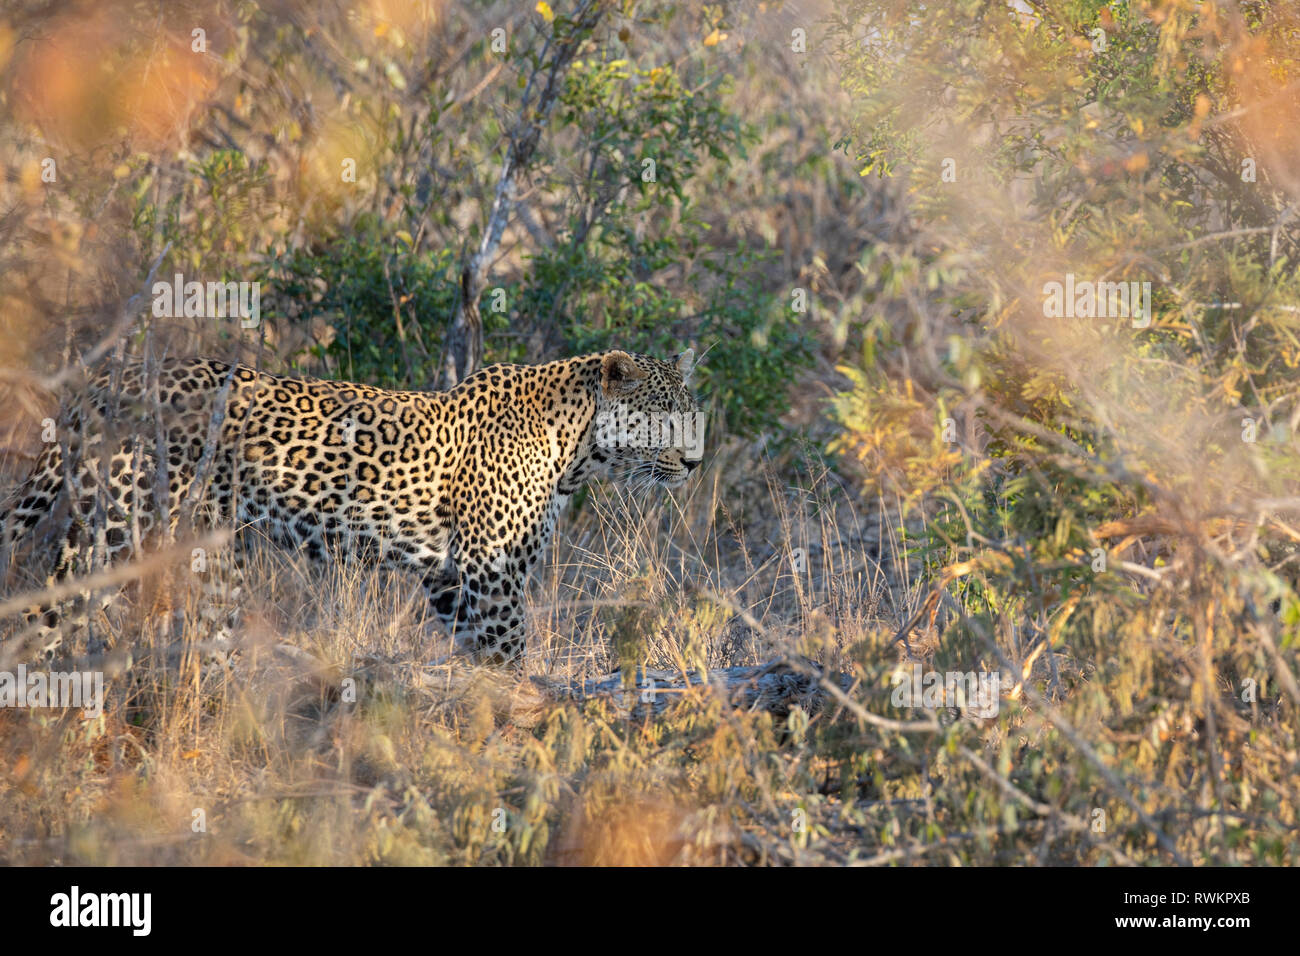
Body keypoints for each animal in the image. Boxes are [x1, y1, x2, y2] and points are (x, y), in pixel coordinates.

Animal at [0, 348, 702, 665]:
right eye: (663, 414)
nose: (695, 464)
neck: (578, 450)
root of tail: (99, 382)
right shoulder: (493, 573)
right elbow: (510, 656)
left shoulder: (451, 578)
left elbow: (479, 661)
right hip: (120, 532)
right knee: (38, 618)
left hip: (209, 553)